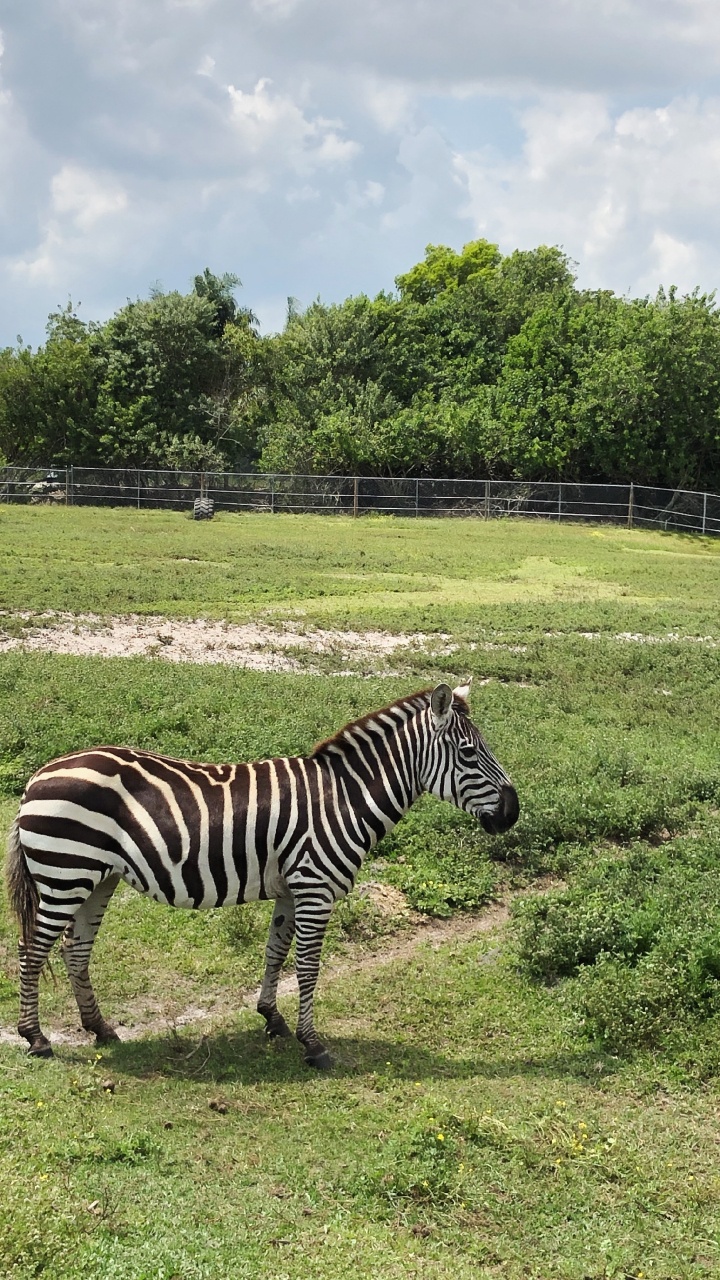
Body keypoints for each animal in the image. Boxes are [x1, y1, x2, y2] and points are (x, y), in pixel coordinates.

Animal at [5, 681, 519, 1069]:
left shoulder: (291, 889)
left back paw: (101, 1029)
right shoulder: (315, 887)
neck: (344, 798)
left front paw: (272, 1018)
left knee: (75, 950)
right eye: (469, 753)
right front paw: (313, 1045)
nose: (513, 813)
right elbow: (308, 966)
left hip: (98, 876)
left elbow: (275, 953)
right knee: (31, 949)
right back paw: (36, 1038)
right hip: (65, 871)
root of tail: (37, 776)